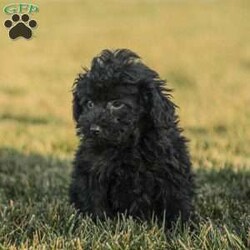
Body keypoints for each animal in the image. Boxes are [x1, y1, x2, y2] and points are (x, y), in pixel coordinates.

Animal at [69, 49, 194, 227]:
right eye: (89, 104)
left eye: (117, 104)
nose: (93, 129)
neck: (128, 144)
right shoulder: (92, 172)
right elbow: (95, 202)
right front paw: (99, 225)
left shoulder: (171, 172)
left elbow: (176, 201)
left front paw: (182, 227)